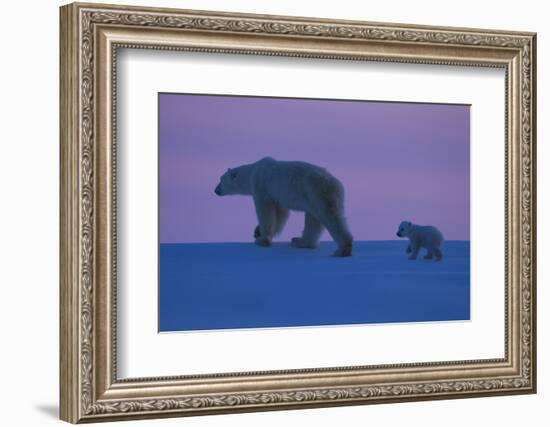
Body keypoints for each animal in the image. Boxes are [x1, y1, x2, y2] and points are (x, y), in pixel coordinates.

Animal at [215, 157, 354, 258]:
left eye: (220, 180)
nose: (215, 190)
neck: (253, 171)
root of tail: (335, 184)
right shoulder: (278, 196)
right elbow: (281, 214)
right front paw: (257, 231)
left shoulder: (262, 186)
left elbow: (265, 211)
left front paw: (261, 240)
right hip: (315, 197)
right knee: (314, 218)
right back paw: (301, 241)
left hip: (316, 191)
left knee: (329, 216)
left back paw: (343, 249)